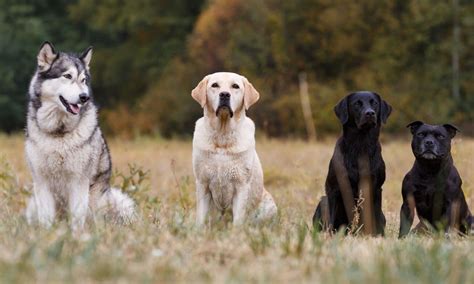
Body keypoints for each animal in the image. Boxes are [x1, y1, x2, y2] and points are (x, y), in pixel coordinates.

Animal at [312, 91, 390, 235]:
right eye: (357, 104)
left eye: (375, 103)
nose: (370, 113)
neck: (360, 146)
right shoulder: (333, 188)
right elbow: (331, 219)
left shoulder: (376, 188)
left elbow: (375, 217)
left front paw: (378, 236)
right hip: (323, 201)